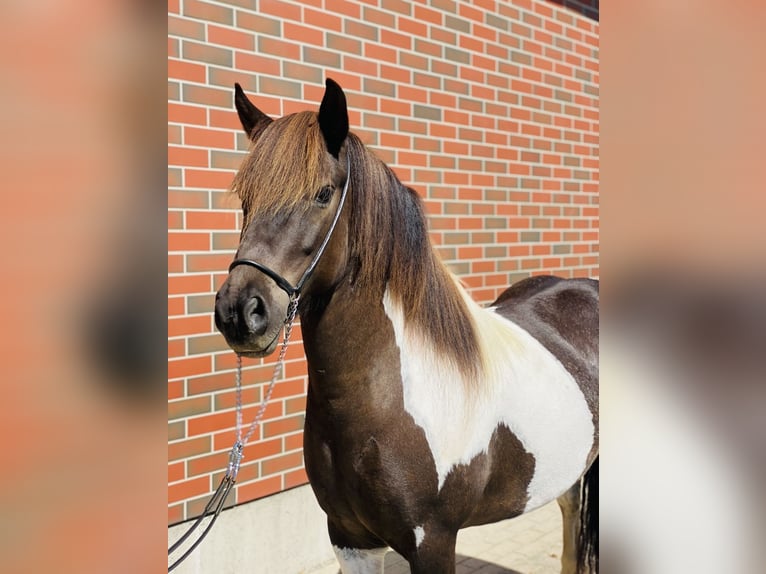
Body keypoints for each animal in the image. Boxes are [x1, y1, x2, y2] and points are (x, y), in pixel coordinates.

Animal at [216, 77, 600, 574]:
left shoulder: (433, 542)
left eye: (322, 193)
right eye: (246, 200)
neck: (387, 403)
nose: (239, 311)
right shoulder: (349, 540)